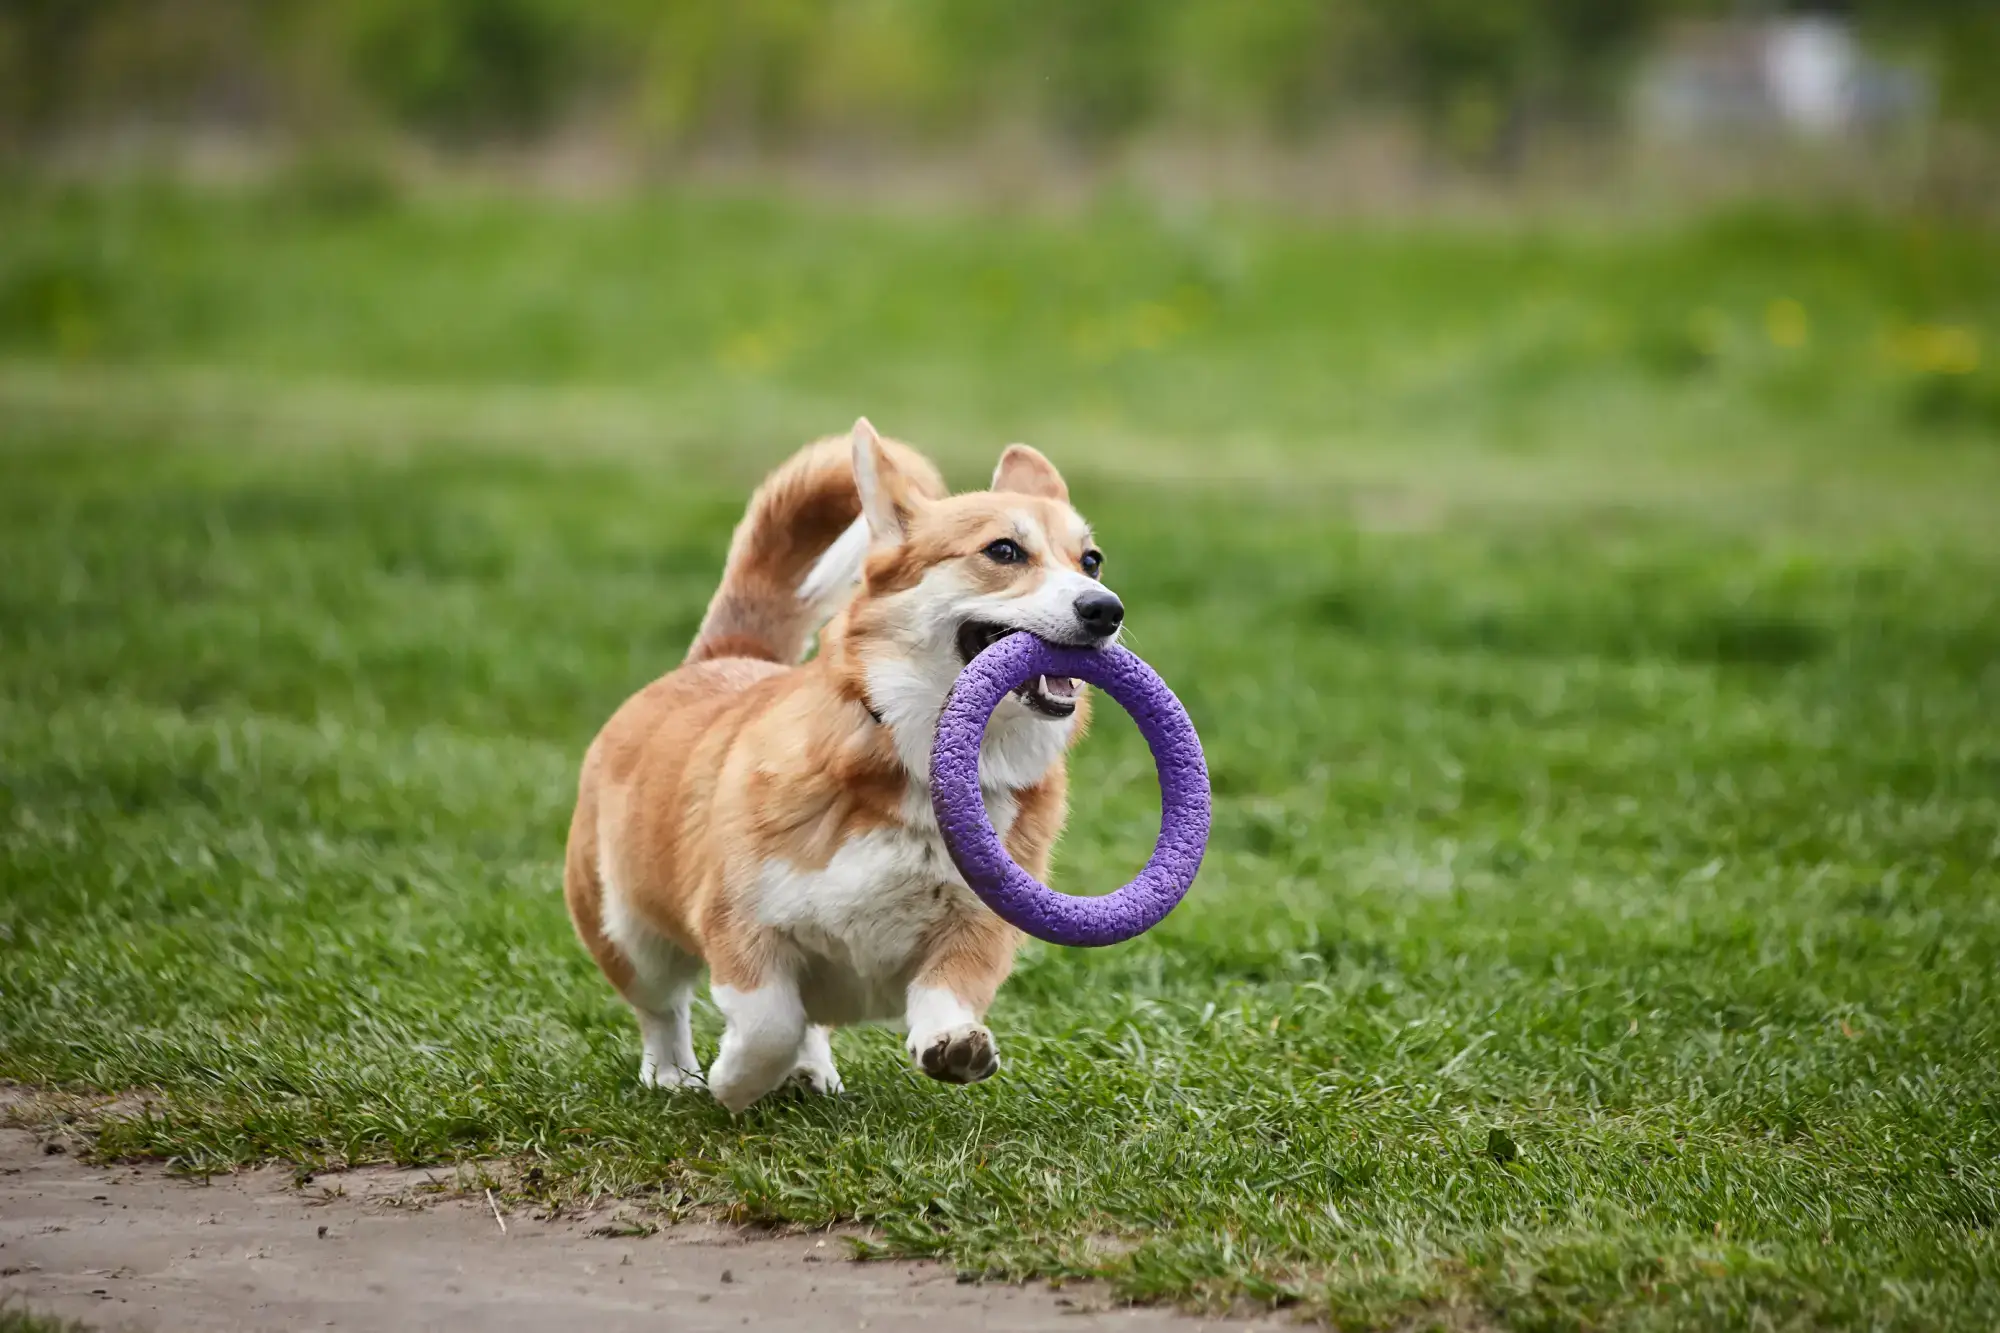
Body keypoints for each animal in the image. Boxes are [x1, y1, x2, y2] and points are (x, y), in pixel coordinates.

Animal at [568, 420, 1128, 1104]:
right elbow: (768, 1023)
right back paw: (675, 1074)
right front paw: (733, 1081)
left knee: (808, 1021)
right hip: (625, 929)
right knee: (663, 1007)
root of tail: (723, 654)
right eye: (1003, 551)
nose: (1106, 609)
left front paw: (955, 1046)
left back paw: (810, 1071)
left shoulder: (980, 926)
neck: (915, 766)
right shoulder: (740, 923)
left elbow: (944, 992)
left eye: (1091, 561)